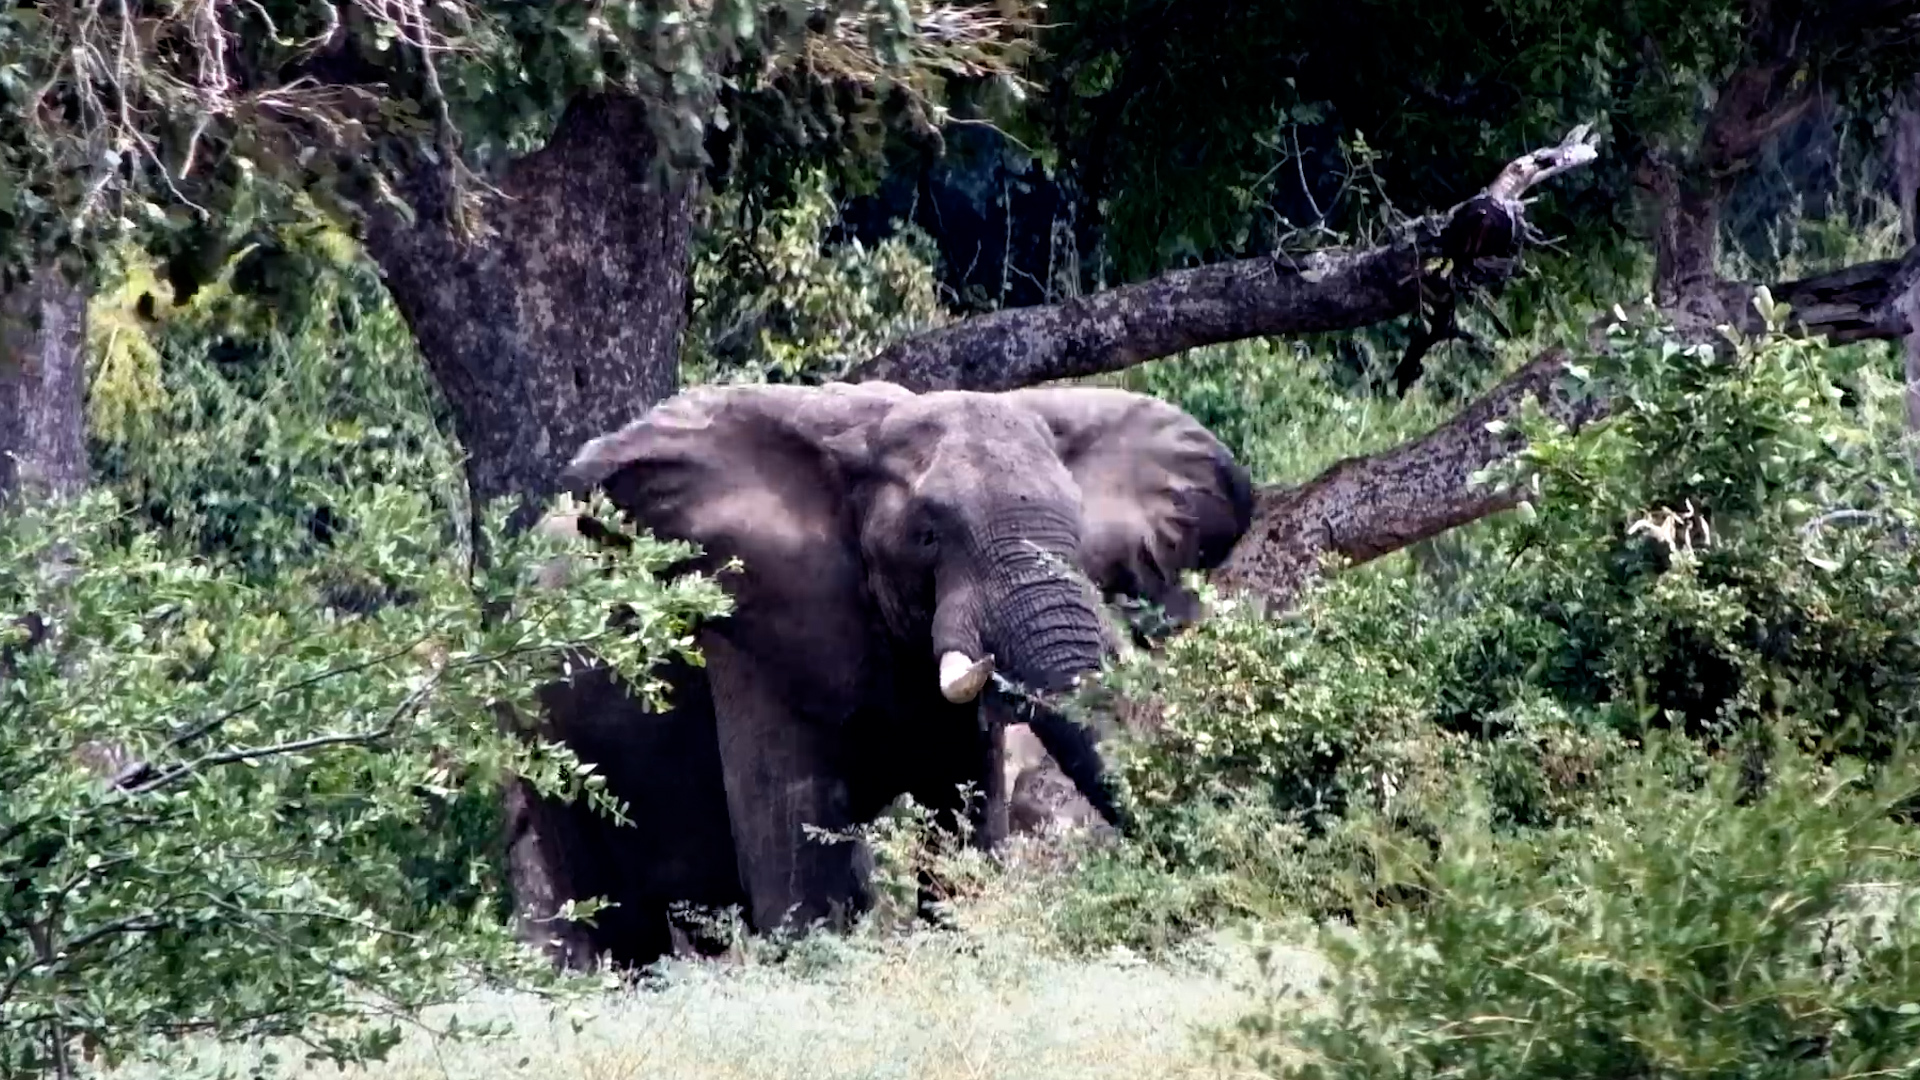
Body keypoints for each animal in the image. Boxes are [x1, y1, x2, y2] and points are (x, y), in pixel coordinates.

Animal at [509, 379, 1252, 970]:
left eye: (1078, 530)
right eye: (928, 536)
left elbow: (963, 824)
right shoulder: (752, 625)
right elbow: (796, 859)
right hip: (541, 734)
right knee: (619, 919)